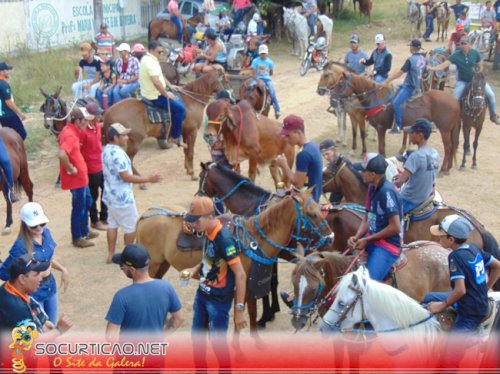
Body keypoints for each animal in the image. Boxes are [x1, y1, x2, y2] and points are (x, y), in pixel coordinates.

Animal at [135, 191, 334, 332]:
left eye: (321, 210)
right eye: (312, 214)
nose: (331, 237)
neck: (254, 239)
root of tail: (146, 214)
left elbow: (248, 312)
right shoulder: (245, 285)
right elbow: (248, 313)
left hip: (162, 264)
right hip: (152, 265)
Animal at [316, 64, 460, 174]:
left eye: (341, 84)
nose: (332, 98)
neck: (376, 98)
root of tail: (454, 101)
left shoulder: (380, 128)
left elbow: (380, 148)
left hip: (444, 129)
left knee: (448, 148)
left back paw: (443, 169)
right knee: (452, 147)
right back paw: (448, 167)